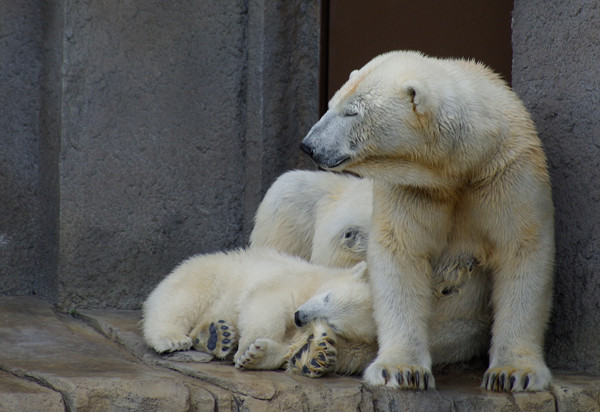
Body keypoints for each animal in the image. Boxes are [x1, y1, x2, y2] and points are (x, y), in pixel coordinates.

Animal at [142, 246, 372, 372]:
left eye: (333, 324)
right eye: (327, 296)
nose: (299, 316)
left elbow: (293, 347)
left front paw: (254, 355)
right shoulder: (300, 281)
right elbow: (268, 300)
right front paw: (247, 348)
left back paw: (216, 336)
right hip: (209, 273)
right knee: (182, 298)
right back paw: (171, 338)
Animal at [300, 51, 552, 392]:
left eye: (351, 112)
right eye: (330, 104)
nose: (308, 145)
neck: (464, 164)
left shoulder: (508, 173)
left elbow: (522, 251)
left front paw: (513, 373)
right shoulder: (414, 189)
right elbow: (401, 253)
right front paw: (401, 370)